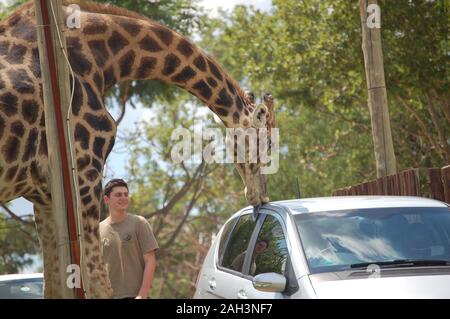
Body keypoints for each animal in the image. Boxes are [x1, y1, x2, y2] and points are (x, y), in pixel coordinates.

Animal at [0, 1, 274, 298]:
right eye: (270, 144)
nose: (261, 196)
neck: (103, 59)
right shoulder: (84, 170)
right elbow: (99, 282)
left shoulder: (45, 194)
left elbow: (54, 286)